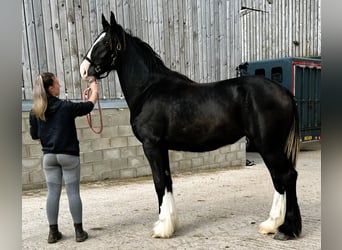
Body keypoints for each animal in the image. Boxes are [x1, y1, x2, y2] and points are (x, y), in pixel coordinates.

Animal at [80, 11, 302, 240]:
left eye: (106, 42)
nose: (84, 70)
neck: (149, 89)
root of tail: (284, 92)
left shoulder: (152, 145)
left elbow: (159, 183)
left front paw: (161, 227)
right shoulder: (162, 147)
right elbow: (167, 181)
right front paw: (170, 224)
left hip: (268, 146)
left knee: (286, 176)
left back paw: (286, 229)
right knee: (280, 178)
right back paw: (273, 224)